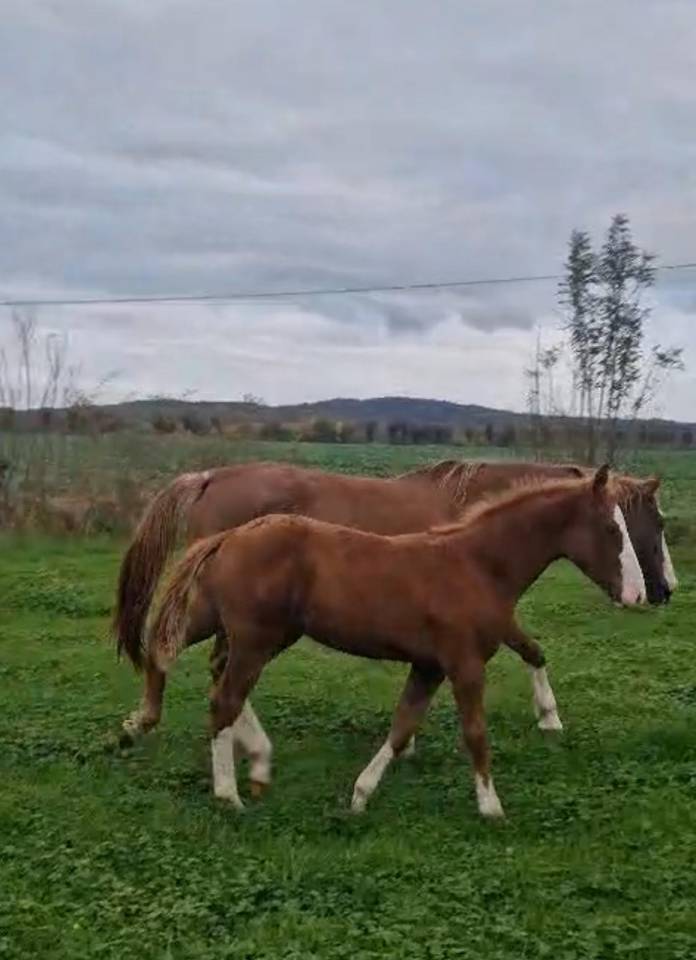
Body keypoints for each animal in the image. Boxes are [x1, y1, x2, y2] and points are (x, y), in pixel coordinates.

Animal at [146, 466, 646, 818]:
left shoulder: (429, 666)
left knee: (170, 651)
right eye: (612, 530)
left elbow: (402, 725)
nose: (638, 595)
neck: (477, 564)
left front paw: (360, 796)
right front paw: (491, 807)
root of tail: (231, 535)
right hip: (254, 639)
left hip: (243, 627)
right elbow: (475, 732)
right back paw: (227, 793)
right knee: (222, 699)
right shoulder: (464, 664)